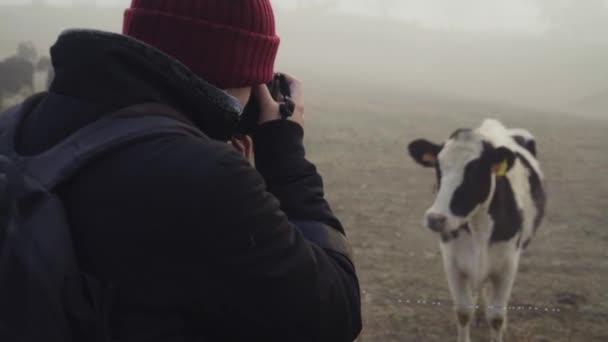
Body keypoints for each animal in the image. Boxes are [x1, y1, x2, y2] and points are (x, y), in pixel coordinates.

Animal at [408, 119, 548, 342]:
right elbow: (463, 312)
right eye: (437, 167)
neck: (478, 230)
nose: (435, 219)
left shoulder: (507, 266)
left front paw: (499, 324)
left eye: (475, 171)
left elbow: (497, 317)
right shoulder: (453, 263)